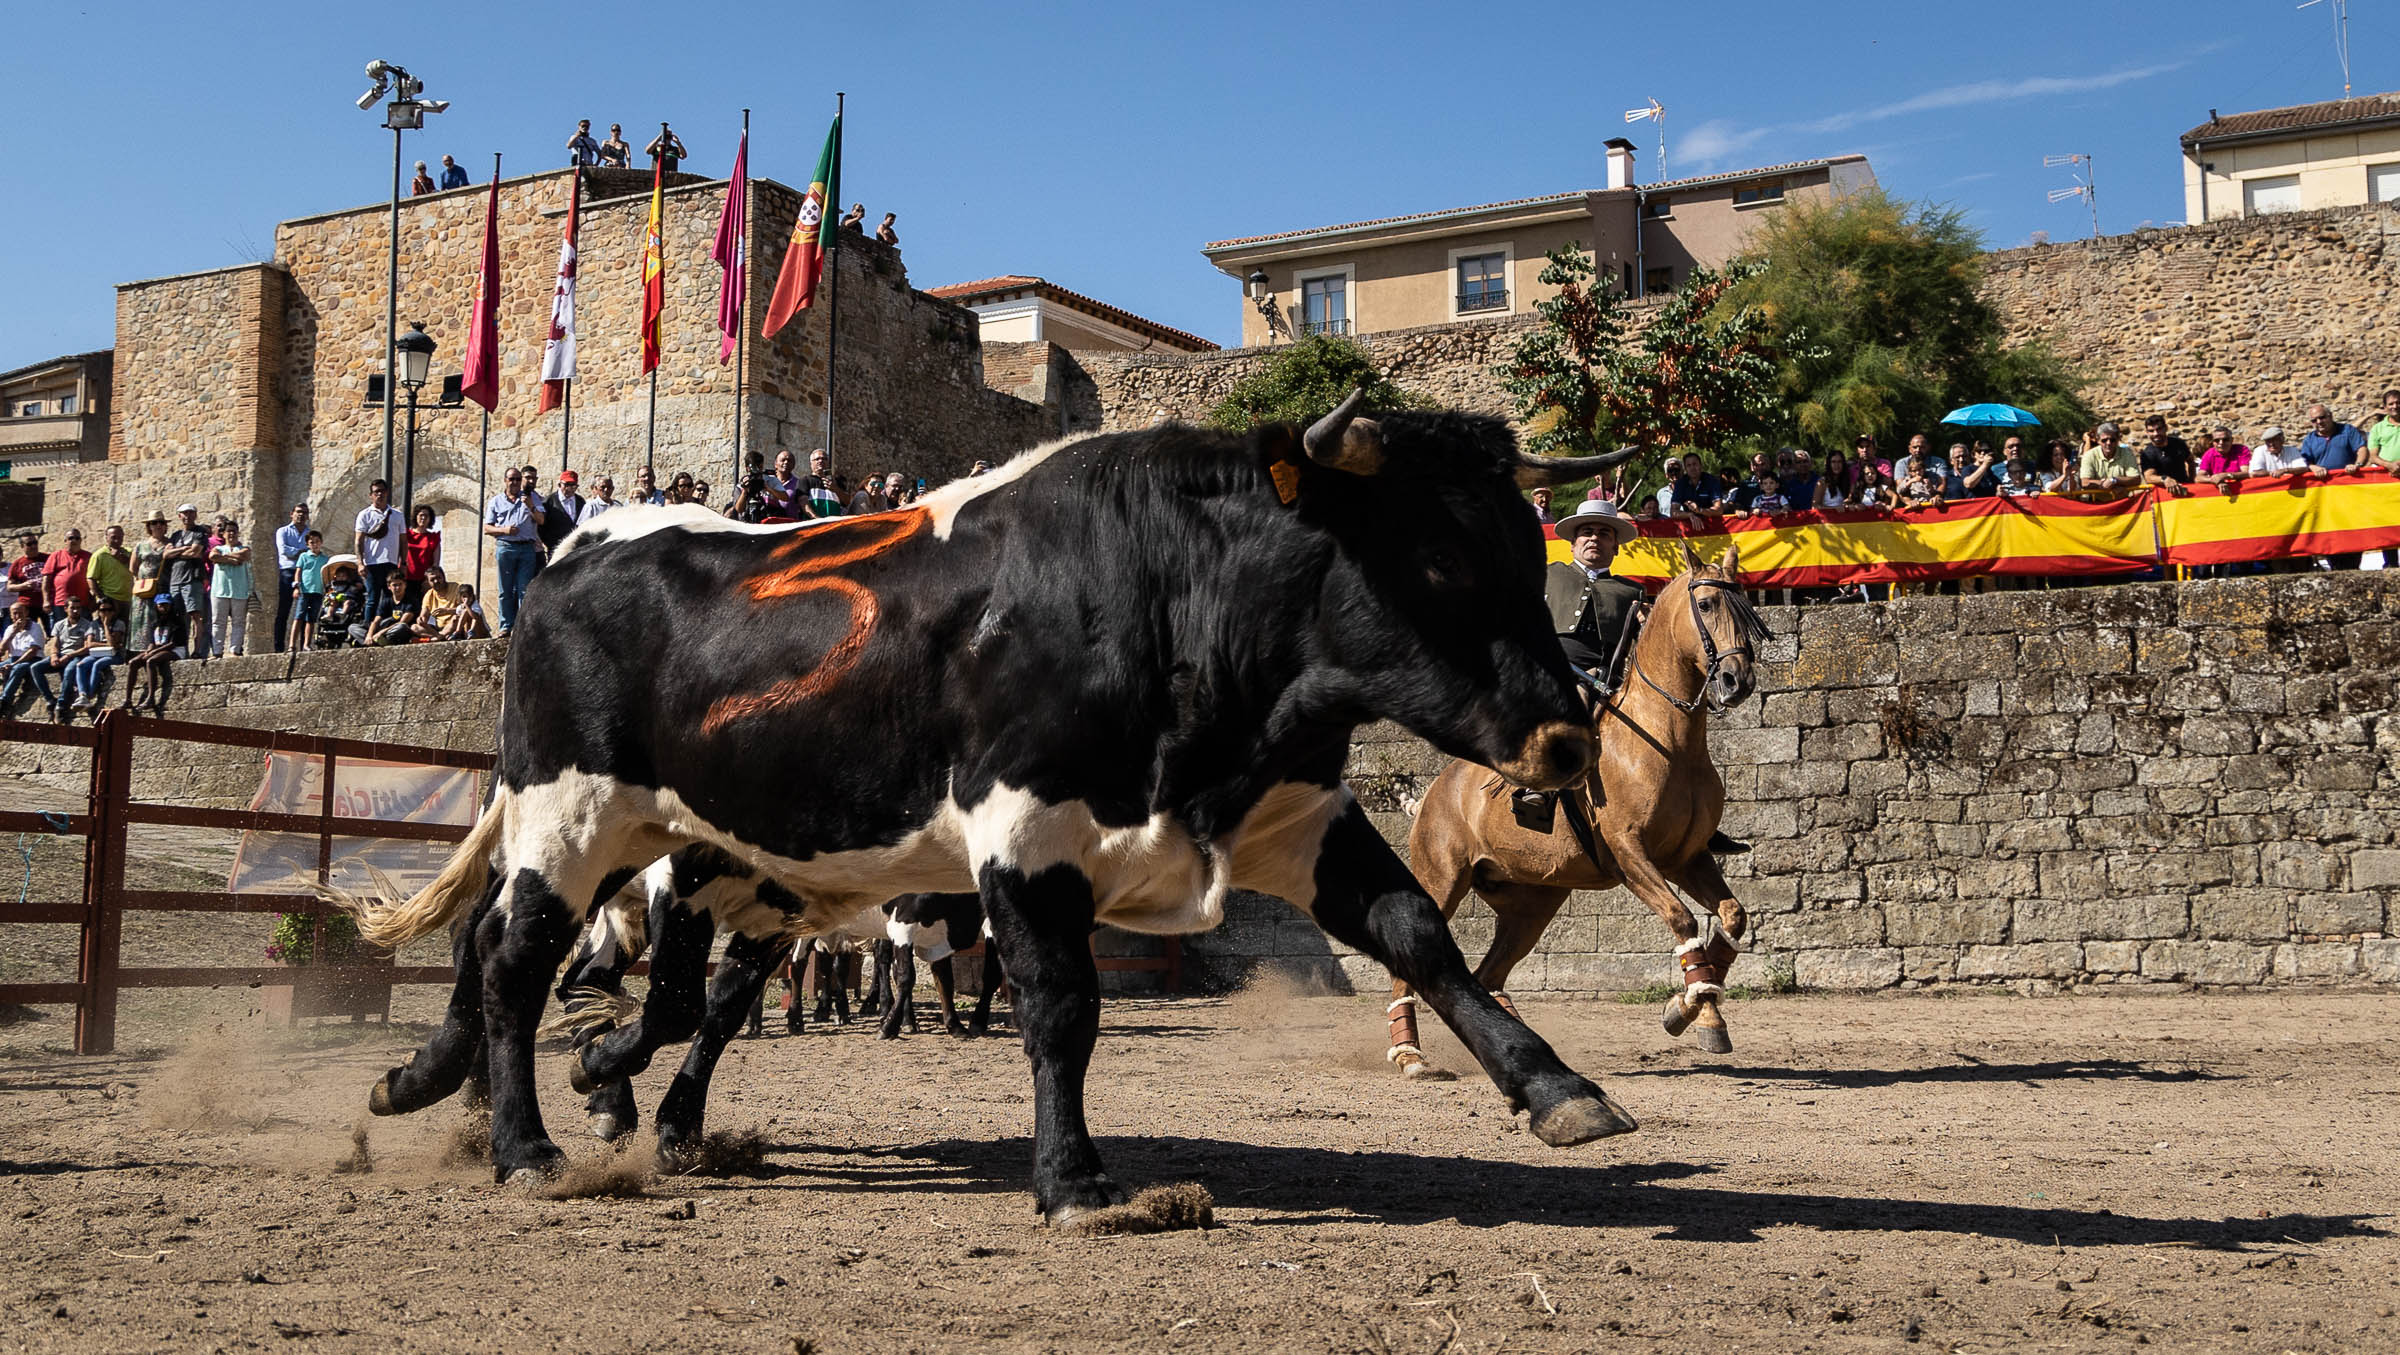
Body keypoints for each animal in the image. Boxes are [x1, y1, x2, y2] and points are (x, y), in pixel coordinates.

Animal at [348, 393, 1641, 1227]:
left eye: (1526, 551)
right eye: (1435, 560)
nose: (1568, 736)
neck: (1164, 595)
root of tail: (578, 546)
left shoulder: (1293, 814)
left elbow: (1421, 934)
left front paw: (1557, 1088)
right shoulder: (1026, 828)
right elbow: (1060, 1006)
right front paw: (1074, 1179)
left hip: (682, 850)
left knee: (591, 976)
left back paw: (496, 1084)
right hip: (572, 814)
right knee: (517, 957)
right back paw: (524, 1143)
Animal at [1401, 539, 1776, 1079]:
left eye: (1746, 608)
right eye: (1706, 605)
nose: (1736, 680)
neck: (1665, 741)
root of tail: (1434, 792)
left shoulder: (1687, 858)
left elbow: (1732, 915)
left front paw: (1692, 1005)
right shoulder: (1630, 855)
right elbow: (1683, 920)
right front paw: (1698, 1013)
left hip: (1530, 907)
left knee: (1489, 974)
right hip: (1442, 883)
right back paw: (1410, 1057)